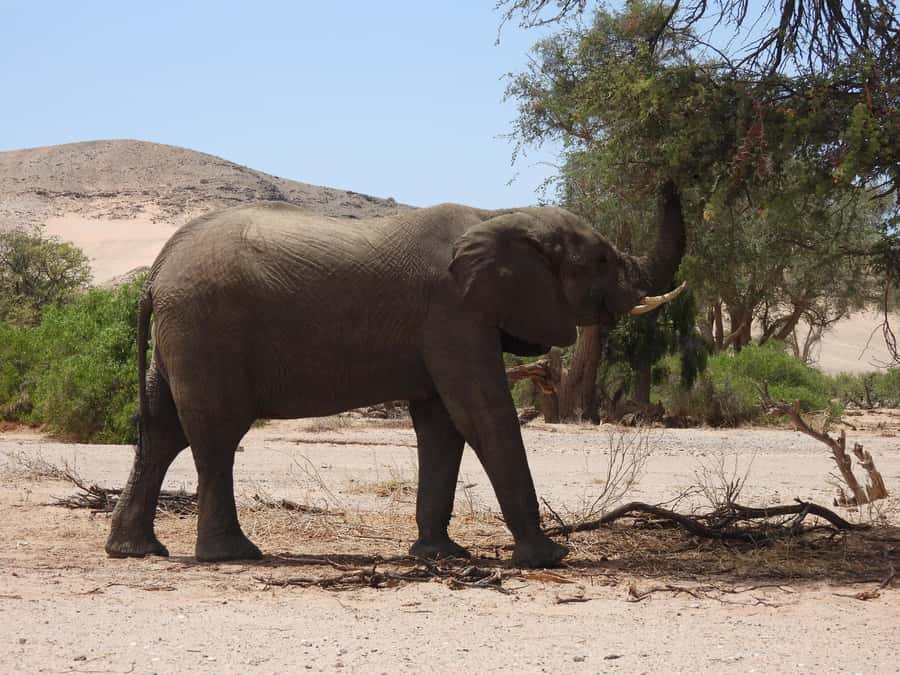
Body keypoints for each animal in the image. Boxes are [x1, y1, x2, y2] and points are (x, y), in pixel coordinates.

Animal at [105, 180, 686, 568]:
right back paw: (233, 555)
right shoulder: (452, 311)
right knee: (216, 432)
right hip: (207, 327)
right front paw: (549, 557)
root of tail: (157, 271)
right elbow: (481, 413)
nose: (666, 177)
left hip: (183, 330)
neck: (499, 215)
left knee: (161, 430)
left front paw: (441, 555)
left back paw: (136, 550)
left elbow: (442, 425)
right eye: (603, 261)